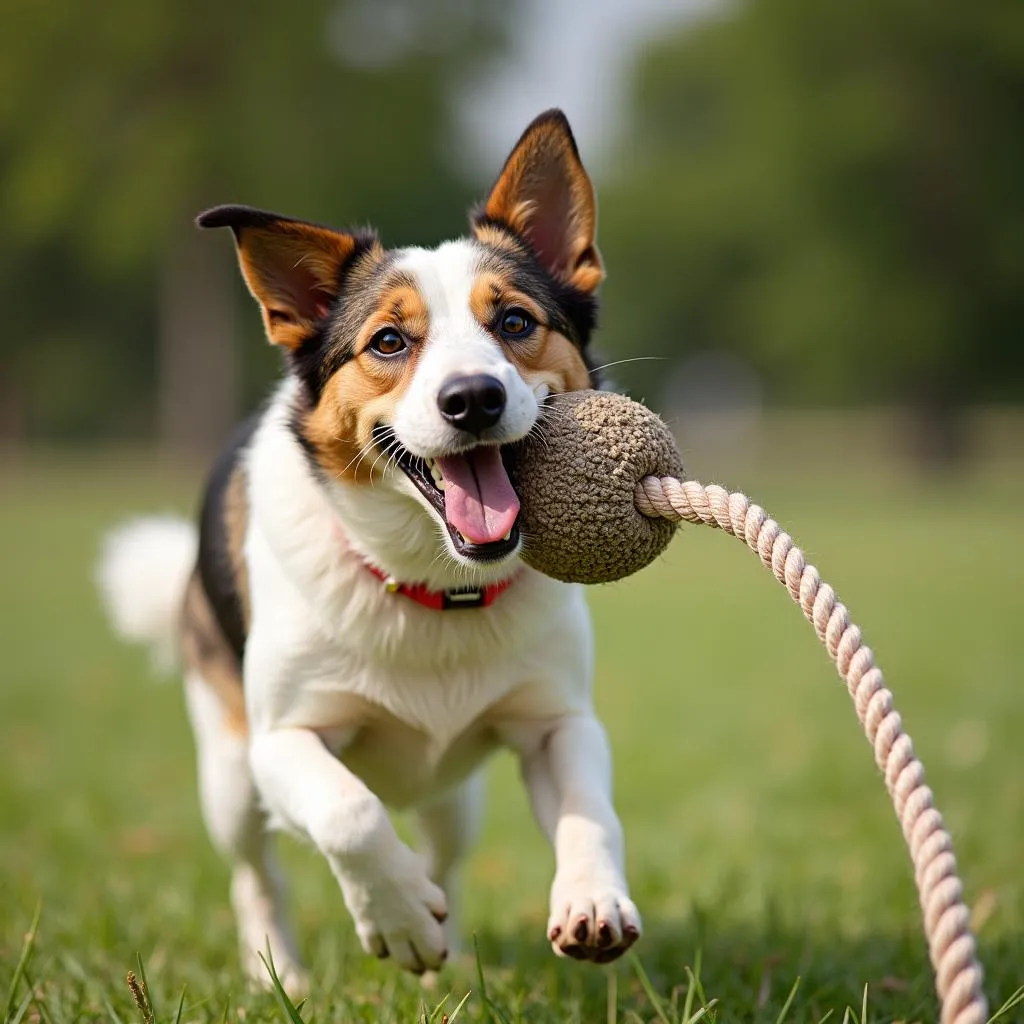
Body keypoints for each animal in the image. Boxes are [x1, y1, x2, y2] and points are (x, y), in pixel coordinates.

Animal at [97, 108, 638, 987]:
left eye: (514, 323)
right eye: (388, 342)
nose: (473, 399)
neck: (435, 586)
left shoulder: (558, 721)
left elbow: (591, 813)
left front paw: (591, 900)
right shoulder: (282, 741)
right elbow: (350, 813)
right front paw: (399, 919)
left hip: (455, 797)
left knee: (445, 855)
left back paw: (447, 952)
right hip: (228, 774)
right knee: (258, 873)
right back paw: (276, 972)